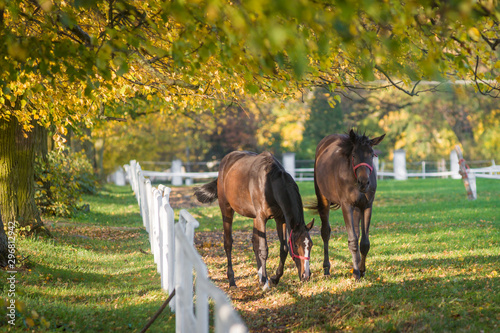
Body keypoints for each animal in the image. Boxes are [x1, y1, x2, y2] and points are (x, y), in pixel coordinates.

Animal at [194, 150, 312, 288]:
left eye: (310, 245)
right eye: (296, 244)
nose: (306, 276)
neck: (270, 183)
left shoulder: (280, 219)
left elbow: (282, 248)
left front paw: (274, 278)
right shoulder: (262, 218)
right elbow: (263, 249)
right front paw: (266, 282)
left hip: (254, 218)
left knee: (254, 243)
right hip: (226, 209)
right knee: (228, 243)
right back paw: (232, 280)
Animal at [312, 128, 386, 278]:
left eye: (372, 154)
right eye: (354, 154)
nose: (364, 182)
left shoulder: (367, 206)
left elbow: (364, 242)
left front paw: (361, 269)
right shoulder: (347, 206)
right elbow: (352, 241)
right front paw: (356, 272)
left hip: (357, 208)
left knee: (357, 232)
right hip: (323, 199)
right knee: (325, 232)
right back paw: (326, 268)